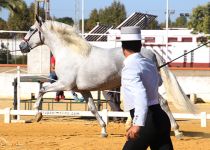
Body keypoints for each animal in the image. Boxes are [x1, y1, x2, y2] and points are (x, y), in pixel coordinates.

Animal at [19, 16, 195, 138]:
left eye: (30, 29)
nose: (21, 46)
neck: (70, 52)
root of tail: (151, 52)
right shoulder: (82, 90)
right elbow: (92, 108)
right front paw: (104, 130)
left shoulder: (64, 84)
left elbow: (42, 89)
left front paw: (37, 113)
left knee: (162, 103)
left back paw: (177, 131)